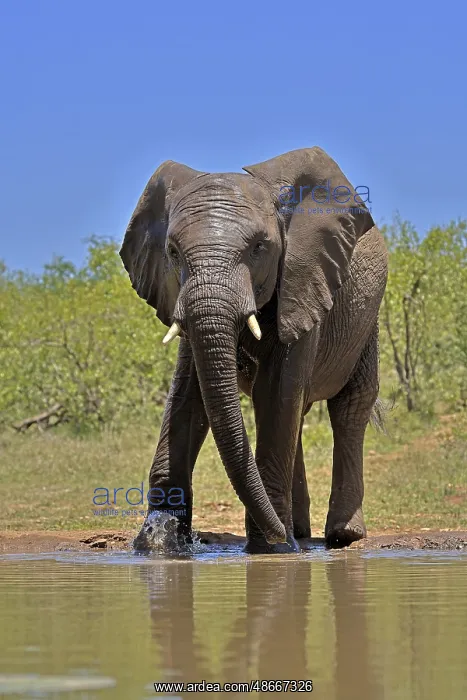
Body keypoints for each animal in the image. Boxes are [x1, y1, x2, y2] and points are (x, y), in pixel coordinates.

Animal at [119, 146, 388, 554]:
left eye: (259, 248)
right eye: (173, 252)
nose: (280, 536)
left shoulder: (302, 279)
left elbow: (276, 391)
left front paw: (272, 548)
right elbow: (189, 394)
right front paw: (159, 543)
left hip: (366, 320)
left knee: (348, 408)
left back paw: (340, 536)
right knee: (300, 412)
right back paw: (299, 531)